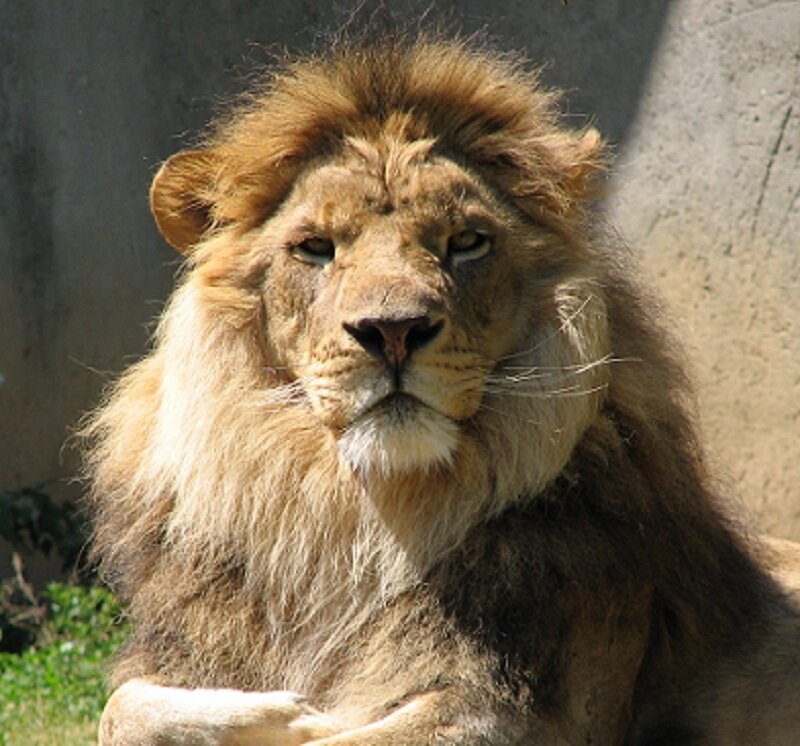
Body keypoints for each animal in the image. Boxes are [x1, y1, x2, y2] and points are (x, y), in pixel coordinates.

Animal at [84, 37, 800, 744]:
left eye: (466, 242)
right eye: (315, 247)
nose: (393, 330)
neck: (350, 525)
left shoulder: (520, 712)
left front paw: (301, 722)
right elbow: (118, 708)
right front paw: (275, 713)